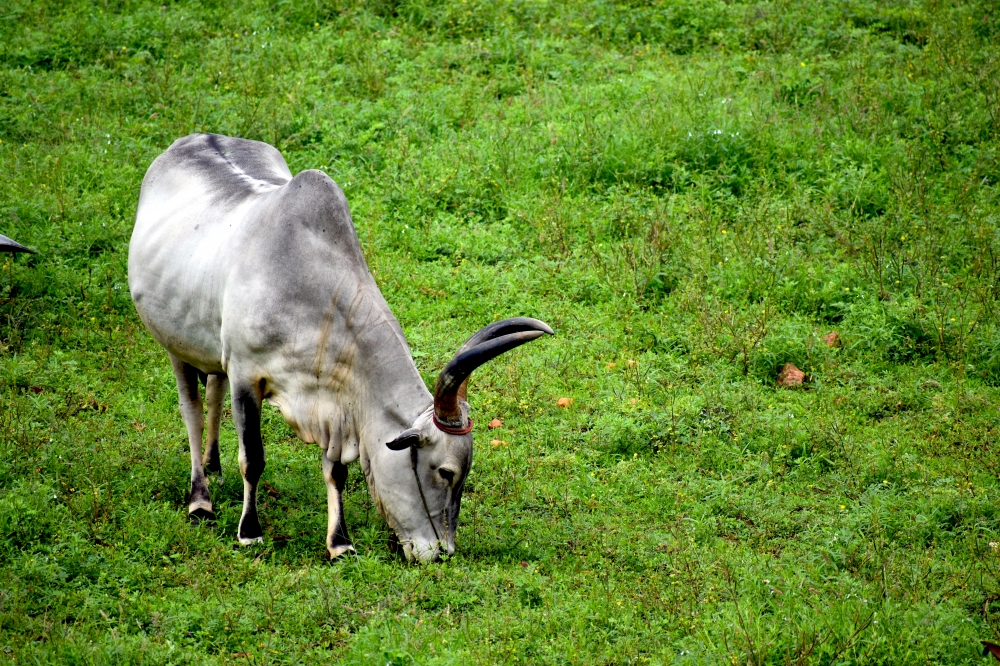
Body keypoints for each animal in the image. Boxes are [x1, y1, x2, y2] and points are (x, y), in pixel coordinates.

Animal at [128, 134, 551, 562]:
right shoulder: (247, 376)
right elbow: (252, 459)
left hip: (210, 348)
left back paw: (214, 466)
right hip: (175, 344)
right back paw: (200, 498)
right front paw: (250, 532)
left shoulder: (334, 402)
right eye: (445, 471)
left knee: (213, 389)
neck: (313, 294)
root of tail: (192, 140)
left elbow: (336, 471)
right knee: (193, 413)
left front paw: (340, 543)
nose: (443, 553)